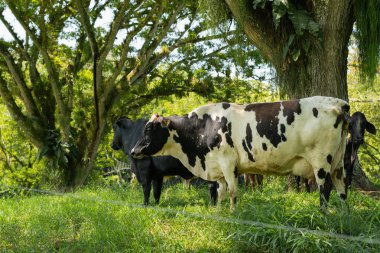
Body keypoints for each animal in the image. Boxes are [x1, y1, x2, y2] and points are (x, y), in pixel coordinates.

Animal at [131, 96, 350, 211]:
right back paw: (344, 216)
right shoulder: (217, 168)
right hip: (338, 162)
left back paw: (323, 214)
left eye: (149, 129)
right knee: (342, 190)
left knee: (325, 189)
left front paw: (232, 213)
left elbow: (232, 191)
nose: (134, 150)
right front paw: (218, 212)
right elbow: (220, 192)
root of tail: (337, 103)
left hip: (321, 161)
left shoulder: (228, 163)